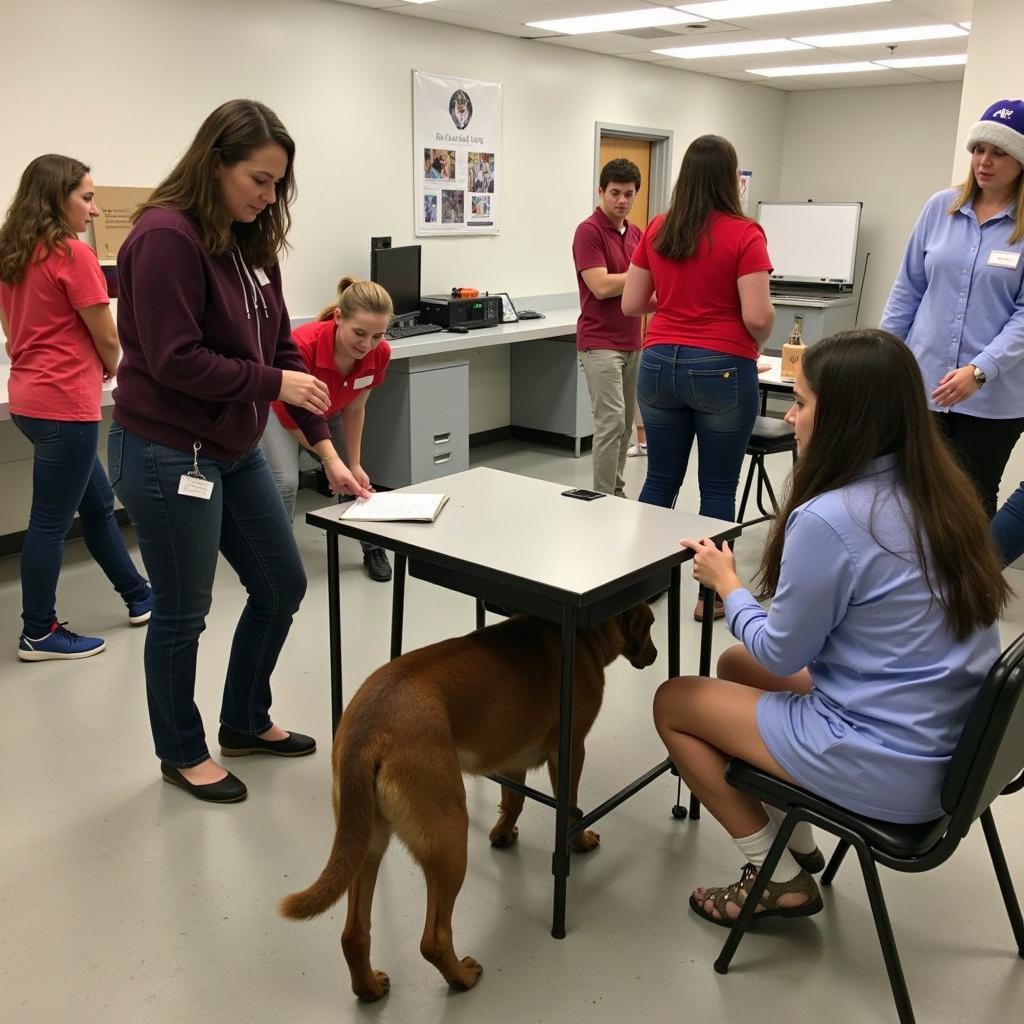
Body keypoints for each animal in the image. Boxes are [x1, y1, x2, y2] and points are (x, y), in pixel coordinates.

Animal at [280, 602, 655, 995]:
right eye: (650, 626)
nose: (656, 655)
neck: (585, 639)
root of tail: (367, 734)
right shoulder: (569, 751)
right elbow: (572, 809)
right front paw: (580, 840)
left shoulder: (512, 756)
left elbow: (514, 801)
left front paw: (503, 834)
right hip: (448, 837)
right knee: (433, 939)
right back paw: (462, 977)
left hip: (366, 843)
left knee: (354, 934)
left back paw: (369, 988)